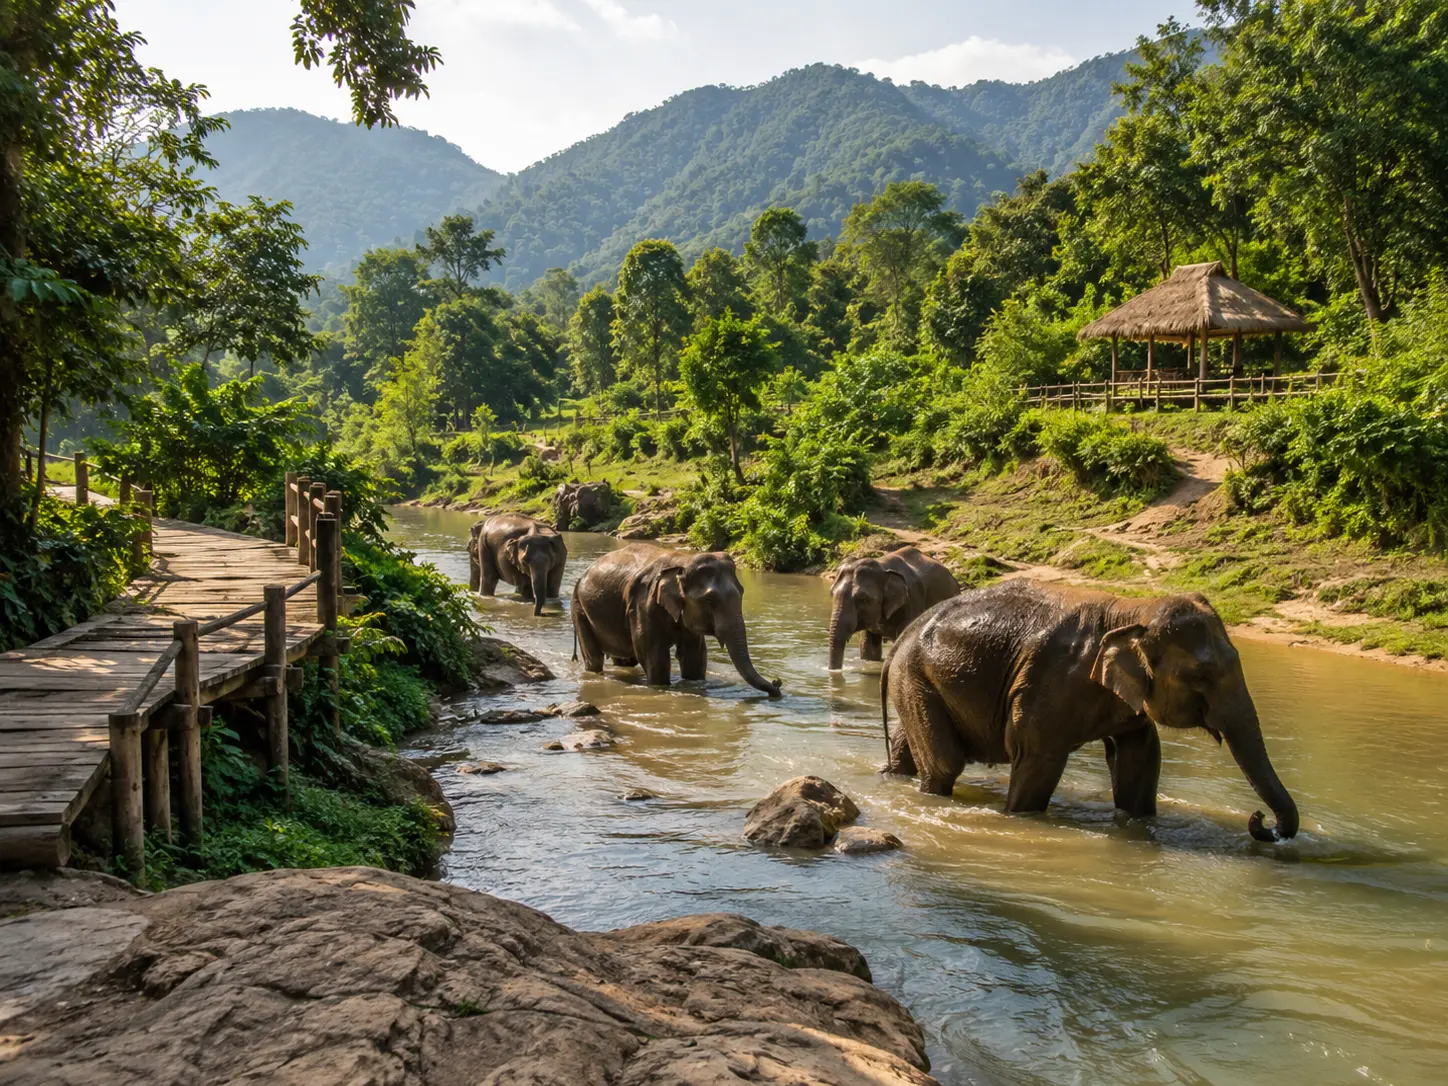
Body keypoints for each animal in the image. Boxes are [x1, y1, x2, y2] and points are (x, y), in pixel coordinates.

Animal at [572, 543, 782, 697]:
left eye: (742, 592)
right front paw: (661, 687)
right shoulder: (642, 604)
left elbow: (694, 656)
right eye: (710, 600)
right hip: (579, 608)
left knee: (625, 660)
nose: (777, 683)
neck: (682, 562)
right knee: (594, 658)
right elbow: (654, 655)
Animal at [881, 579, 1299, 842]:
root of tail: (905, 633)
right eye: (1201, 677)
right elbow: (1037, 758)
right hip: (916, 678)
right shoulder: (1047, 685)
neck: (1132, 610)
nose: (1261, 821)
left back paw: (893, 776)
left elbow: (1139, 756)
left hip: (917, 683)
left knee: (912, 749)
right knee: (944, 764)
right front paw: (1018, 819)